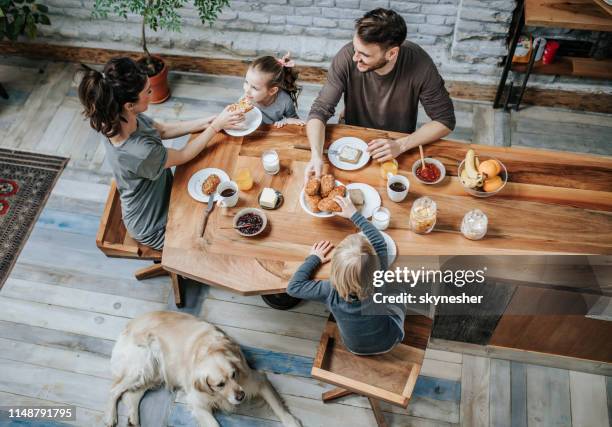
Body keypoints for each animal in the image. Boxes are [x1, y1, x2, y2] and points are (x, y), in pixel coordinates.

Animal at [107, 310, 304, 427]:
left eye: (234, 374)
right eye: (219, 384)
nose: (241, 396)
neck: (208, 350)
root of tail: (130, 323)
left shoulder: (256, 380)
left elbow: (278, 406)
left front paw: (291, 422)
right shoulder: (198, 402)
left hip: (154, 373)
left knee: (131, 395)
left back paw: (133, 420)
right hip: (143, 366)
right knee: (114, 390)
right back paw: (110, 417)